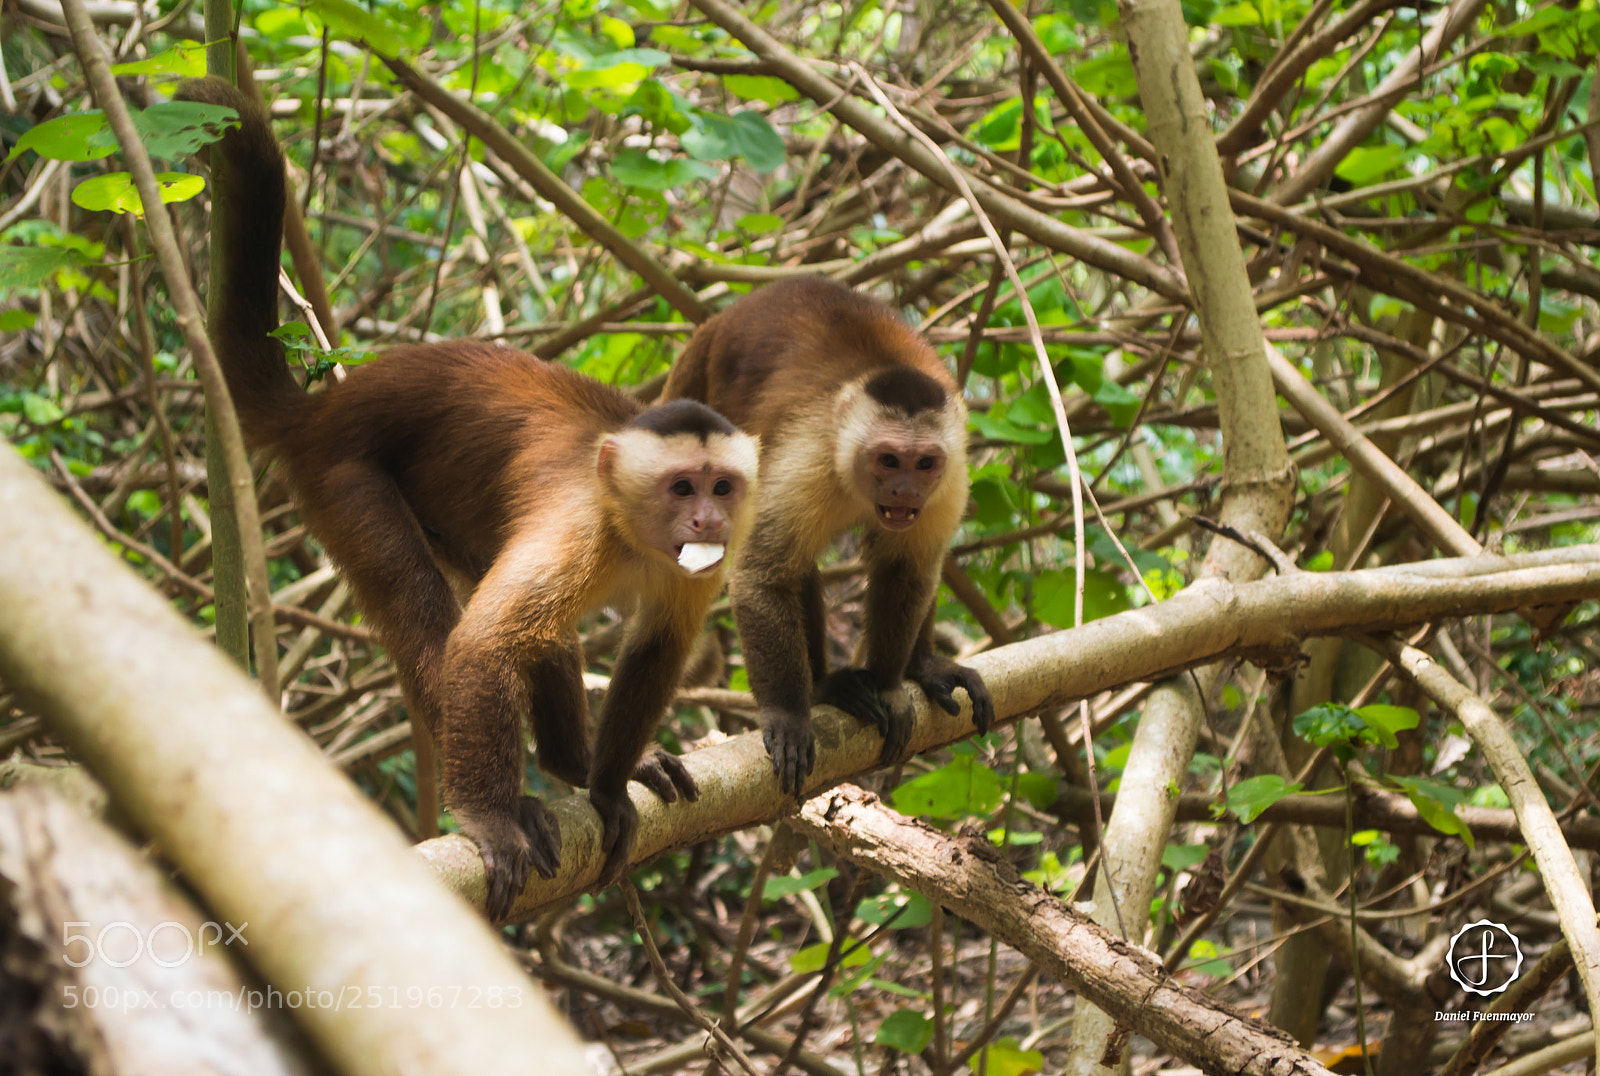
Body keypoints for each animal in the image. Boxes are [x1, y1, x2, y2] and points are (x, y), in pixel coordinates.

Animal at [175, 77, 759, 918]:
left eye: (720, 487)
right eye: (682, 486)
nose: (706, 516)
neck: (632, 534)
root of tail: (325, 410)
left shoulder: (700, 566)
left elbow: (654, 649)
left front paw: (607, 784)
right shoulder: (579, 523)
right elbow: (481, 646)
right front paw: (491, 816)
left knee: (541, 628)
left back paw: (572, 763)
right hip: (343, 476)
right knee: (429, 609)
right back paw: (514, 798)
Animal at [661, 277, 994, 797]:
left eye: (924, 463)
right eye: (888, 460)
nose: (905, 490)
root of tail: (725, 318)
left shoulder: (950, 477)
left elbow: (910, 569)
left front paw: (893, 684)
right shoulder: (811, 456)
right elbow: (760, 577)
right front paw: (788, 714)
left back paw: (921, 664)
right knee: (790, 564)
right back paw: (821, 688)